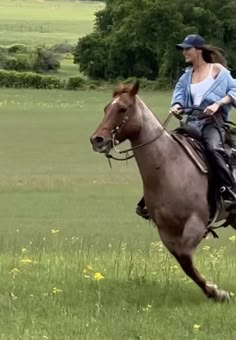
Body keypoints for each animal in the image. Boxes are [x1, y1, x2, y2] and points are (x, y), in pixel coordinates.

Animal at [90, 81, 230, 302]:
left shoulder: (196, 223)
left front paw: (217, 292)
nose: (97, 140)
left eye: (122, 109)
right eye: (106, 108)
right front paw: (214, 291)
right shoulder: (166, 230)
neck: (167, 165)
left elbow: (186, 259)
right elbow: (185, 264)